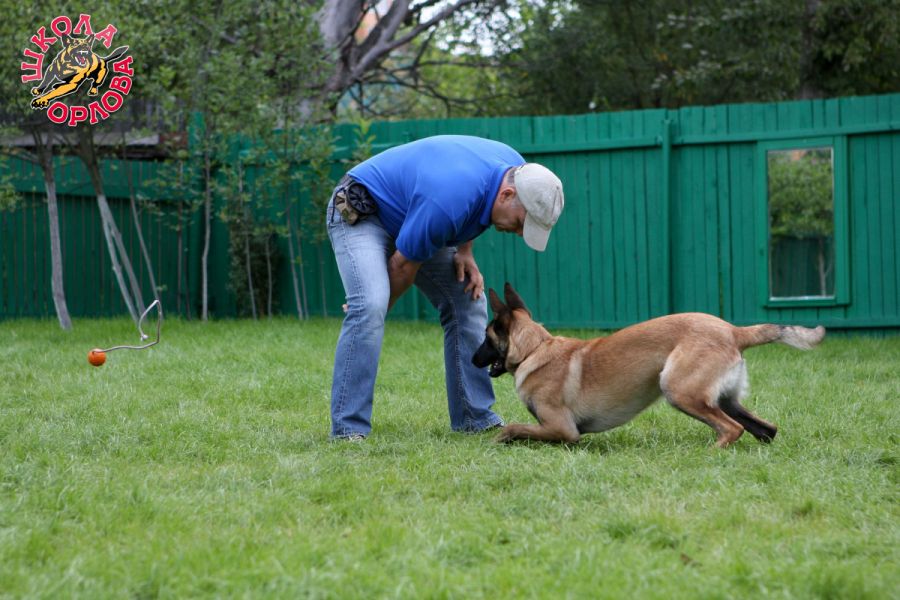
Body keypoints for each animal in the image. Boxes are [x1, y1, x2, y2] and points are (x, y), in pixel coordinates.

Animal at [472, 283, 825, 447]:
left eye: (486, 338)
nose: (473, 360)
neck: (534, 349)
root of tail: (734, 331)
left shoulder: (562, 429)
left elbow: (515, 428)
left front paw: (498, 440)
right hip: (724, 398)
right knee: (765, 429)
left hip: (678, 389)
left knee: (732, 428)